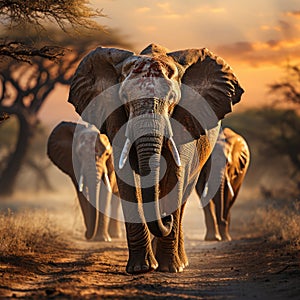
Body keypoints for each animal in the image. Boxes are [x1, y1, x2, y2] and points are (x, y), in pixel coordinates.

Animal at [66, 43, 244, 274]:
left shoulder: (185, 121)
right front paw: (140, 268)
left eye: (172, 99)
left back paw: (180, 261)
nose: (165, 218)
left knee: (185, 193)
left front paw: (170, 268)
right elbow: (128, 178)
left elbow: (175, 177)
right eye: (124, 98)